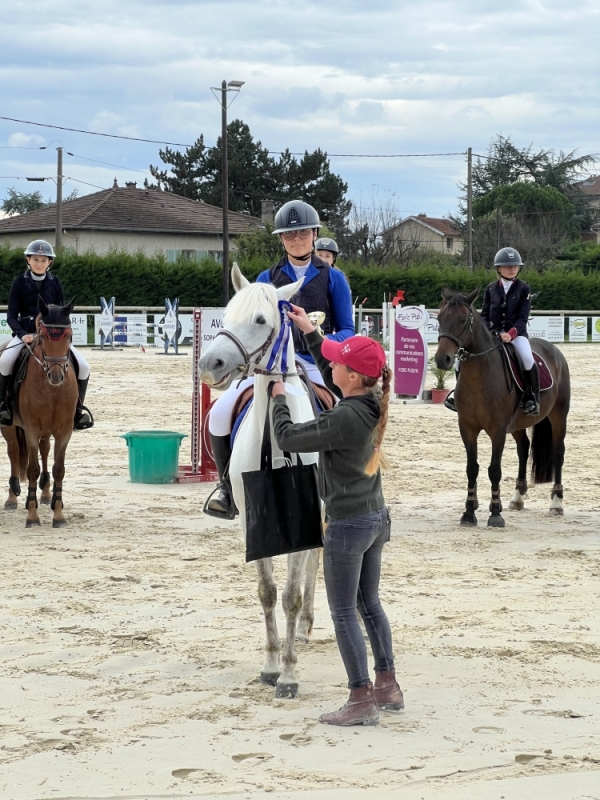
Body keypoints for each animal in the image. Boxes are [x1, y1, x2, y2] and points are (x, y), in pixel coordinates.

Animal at [0, 296, 78, 528]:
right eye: (43, 336)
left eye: (69, 335)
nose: (56, 376)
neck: (52, 390)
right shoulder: (31, 429)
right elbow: (31, 469)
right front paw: (32, 516)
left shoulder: (64, 431)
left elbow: (59, 469)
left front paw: (58, 514)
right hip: (9, 426)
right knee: (14, 453)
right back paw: (12, 497)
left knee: (44, 449)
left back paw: (45, 494)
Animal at [199, 264, 322, 700]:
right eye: (226, 313)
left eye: (260, 320)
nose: (210, 364)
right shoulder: (254, 521)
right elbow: (268, 593)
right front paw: (270, 667)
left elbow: (290, 595)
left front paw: (288, 674)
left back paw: (304, 627)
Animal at [434, 290, 568, 528]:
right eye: (439, 318)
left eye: (462, 320)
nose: (443, 359)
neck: (480, 375)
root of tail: (553, 348)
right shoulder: (467, 428)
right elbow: (472, 468)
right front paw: (469, 512)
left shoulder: (497, 430)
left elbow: (494, 469)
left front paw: (495, 513)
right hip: (516, 425)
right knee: (523, 448)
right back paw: (517, 498)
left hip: (559, 416)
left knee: (558, 452)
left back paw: (556, 503)